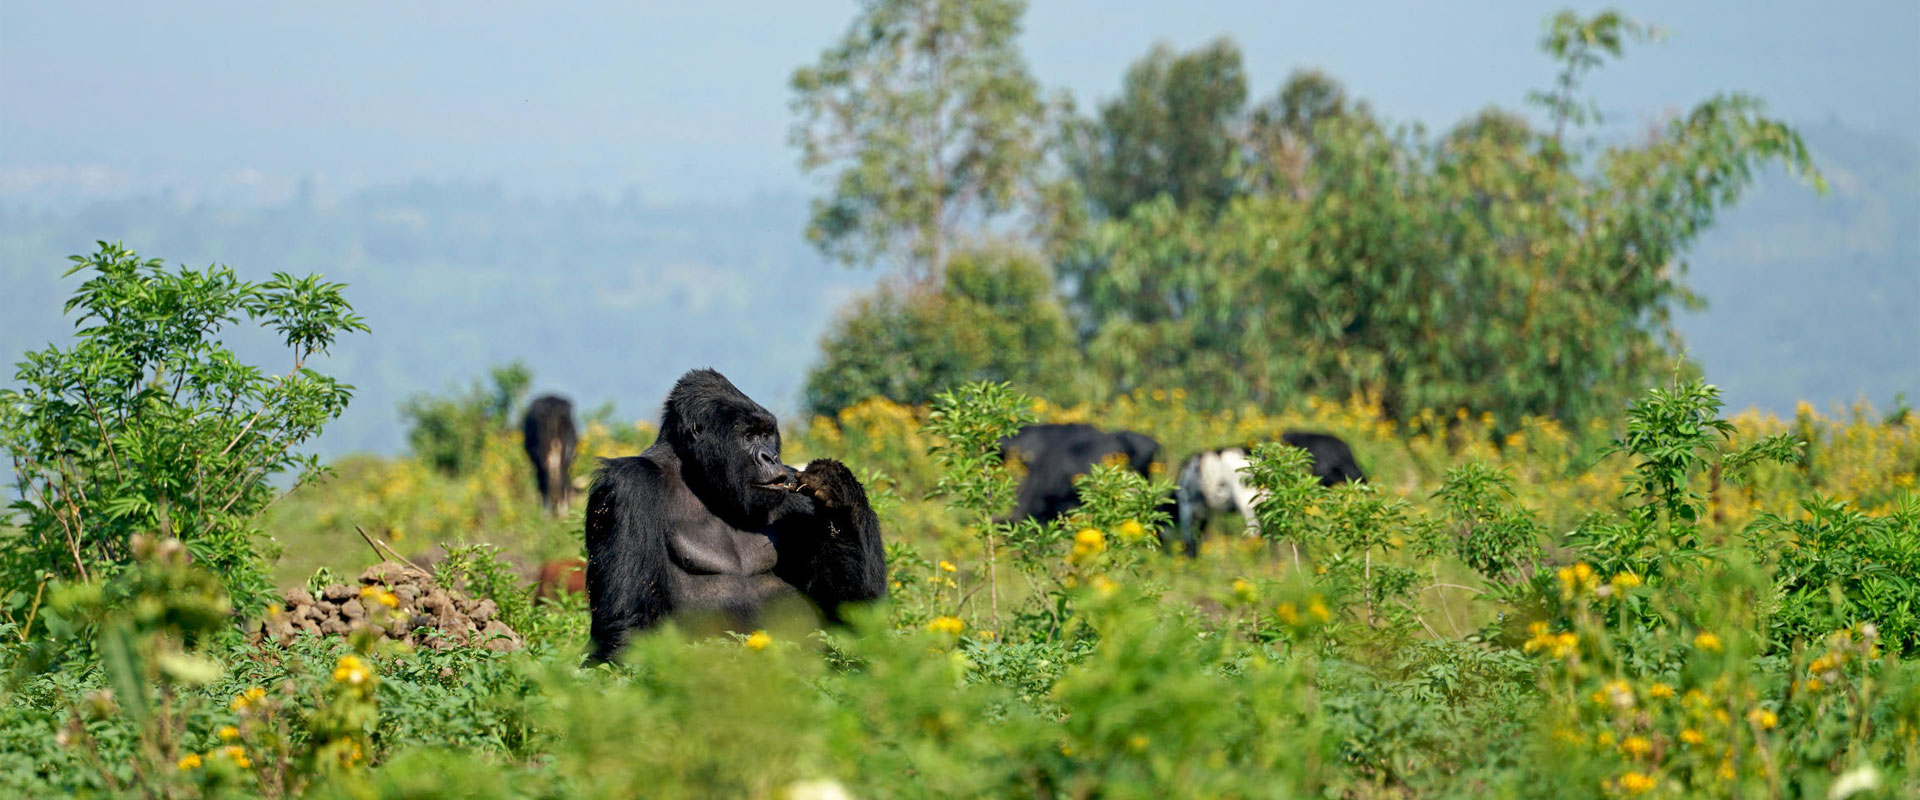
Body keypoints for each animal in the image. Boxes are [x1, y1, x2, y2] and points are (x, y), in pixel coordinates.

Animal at [583, 368, 883, 659]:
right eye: (748, 437)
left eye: (766, 435)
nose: (770, 457)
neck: (698, 478)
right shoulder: (628, 487)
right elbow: (627, 623)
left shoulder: (794, 492)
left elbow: (851, 606)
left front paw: (840, 490)